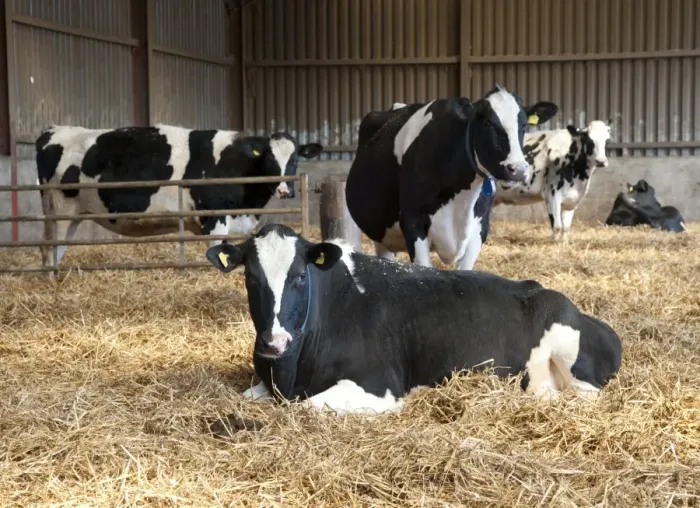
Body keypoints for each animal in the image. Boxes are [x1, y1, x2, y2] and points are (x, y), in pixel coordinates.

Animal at [35, 124, 323, 267]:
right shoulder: (214, 218)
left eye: (295, 158)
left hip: (72, 216)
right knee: (49, 250)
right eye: (269, 159)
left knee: (55, 251)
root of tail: (53, 130)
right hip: (59, 211)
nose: (285, 189)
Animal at [205, 224, 623, 415]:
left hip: (570, 360)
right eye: (250, 277)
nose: (274, 342)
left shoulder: (378, 385)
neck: (290, 373)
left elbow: (307, 406)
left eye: (299, 277)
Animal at [345, 86, 559, 271]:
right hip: (380, 231)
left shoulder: (480, 228)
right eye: (488, 123)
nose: (518, 170)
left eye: (523, 125)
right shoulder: (413, 222)